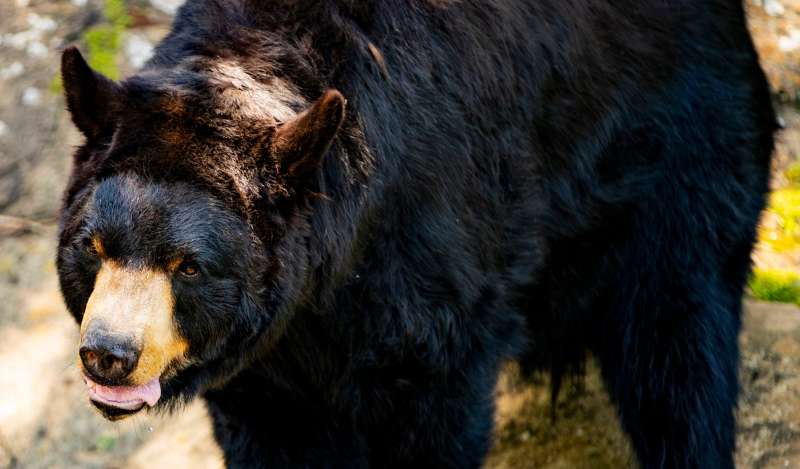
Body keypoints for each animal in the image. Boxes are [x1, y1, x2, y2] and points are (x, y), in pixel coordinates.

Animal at [56, 0, 776, 467]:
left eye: (189, 266)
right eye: (93, 247)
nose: (108, 355)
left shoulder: (430, 255)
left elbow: (432, 400)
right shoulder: (264, 358)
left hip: (679, 148)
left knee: (677, 346)